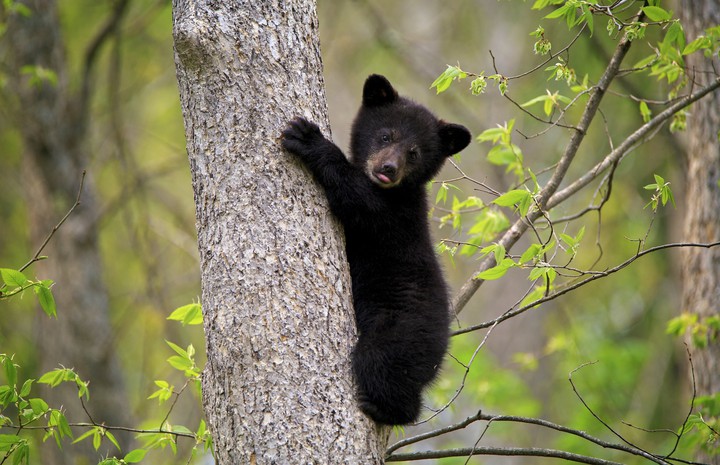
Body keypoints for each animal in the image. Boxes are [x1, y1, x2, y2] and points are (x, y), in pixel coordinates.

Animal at [281, 74, 471, 425]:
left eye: (414, 152)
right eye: (385, 135)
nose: (389, 168)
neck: (396, 191)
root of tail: (439, 352)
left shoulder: (393, 217)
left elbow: (356, 198)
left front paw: (309, 139)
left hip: (398, 333)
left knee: (380, 364)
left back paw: (383, 408)